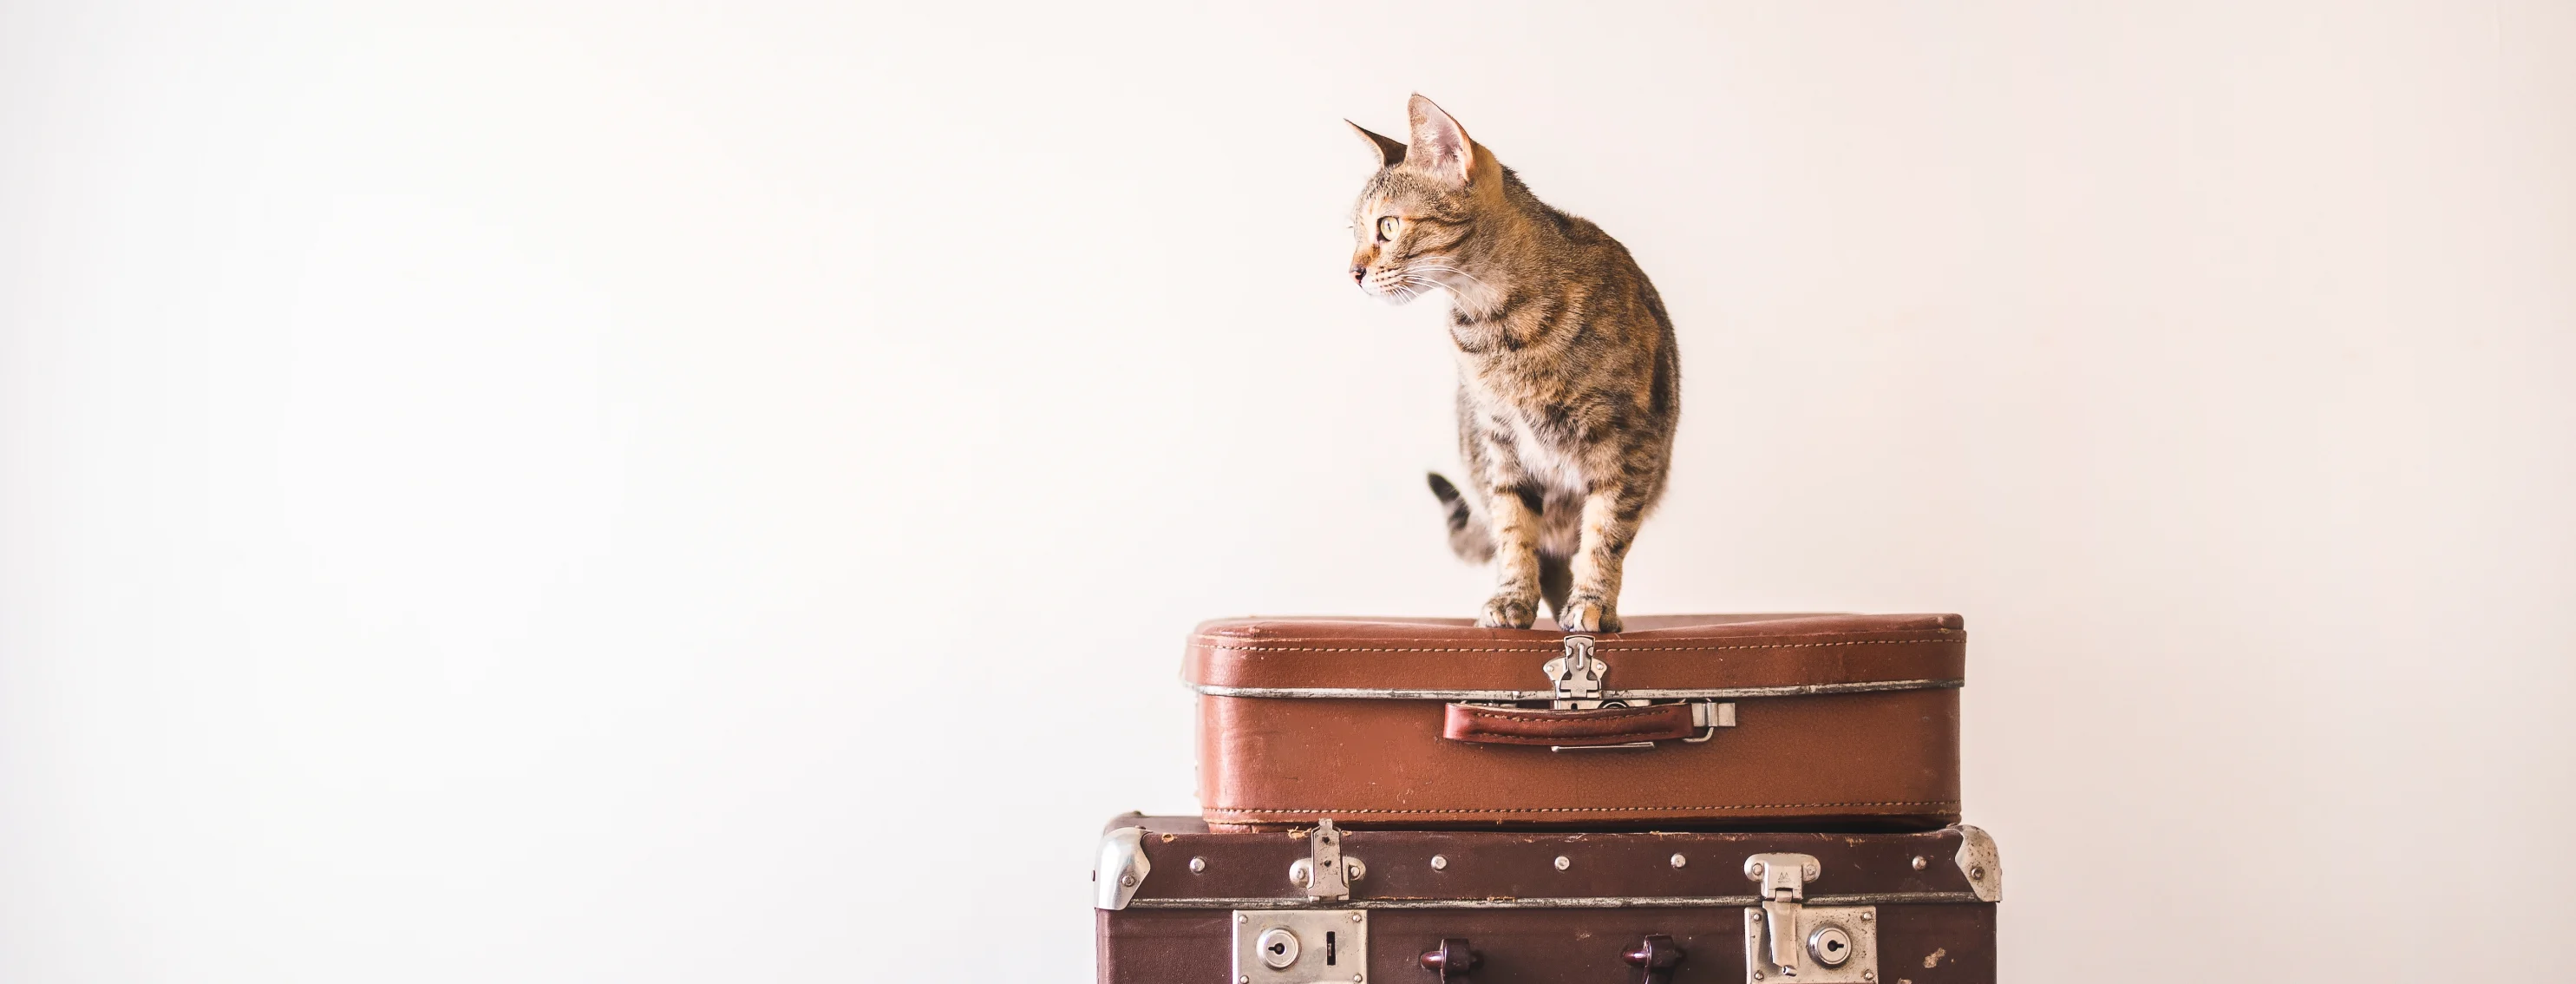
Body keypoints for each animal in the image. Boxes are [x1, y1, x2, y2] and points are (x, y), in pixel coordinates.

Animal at [1350, 95, 1690, 633]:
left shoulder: (1627, 444)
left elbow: (1606, 533)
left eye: (1386, 226)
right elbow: (1514, 527)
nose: (1353, 272)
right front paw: (1512, 598)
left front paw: (1593, 604)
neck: (1497, 324)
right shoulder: (1501, 441)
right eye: (1356, 231)